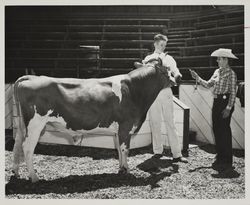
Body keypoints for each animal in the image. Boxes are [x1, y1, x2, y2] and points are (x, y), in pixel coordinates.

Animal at [12, 58, 176, 183]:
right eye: (168, 68)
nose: (178, 78)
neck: (134, 89)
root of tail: (30, 77)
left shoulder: (118, 129)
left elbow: (119, 149)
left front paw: (120, 168)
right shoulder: (126, 125)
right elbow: (125, 149)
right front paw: (126, 170)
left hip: (22, 124)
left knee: (17, 144)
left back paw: (16, 172)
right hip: (35, 124)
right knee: (27, 147)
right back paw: (34, 177)